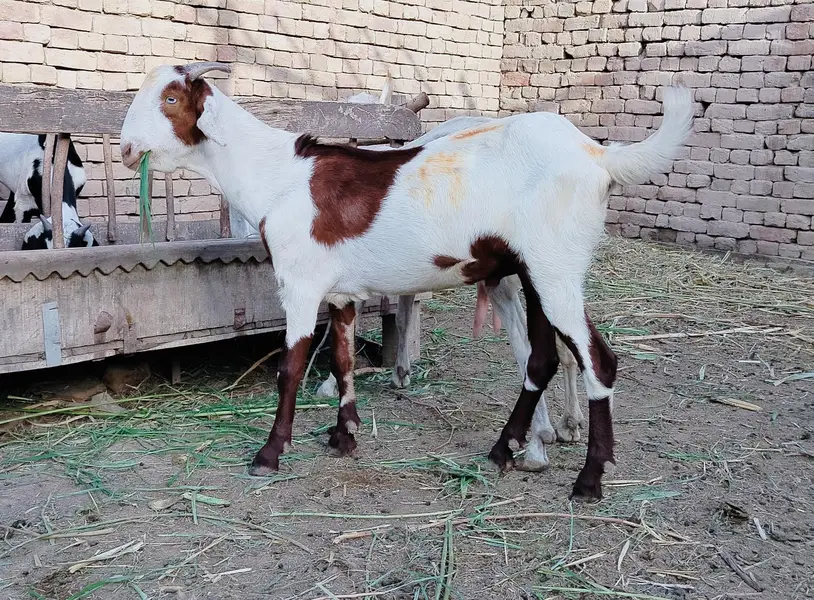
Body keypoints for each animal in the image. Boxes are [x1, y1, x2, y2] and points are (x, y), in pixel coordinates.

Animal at [120, 62, 693, 500]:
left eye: (170, 97)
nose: (127, 150)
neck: (277, 175)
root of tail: (598, 155)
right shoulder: (340, 292)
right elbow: (342, 360)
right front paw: (344, 437)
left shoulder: (300, 284)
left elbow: (290, 369)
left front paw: (269, 453)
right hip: (535, 272)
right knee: (543, 358)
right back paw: (506, 450)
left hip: (555, 268)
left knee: (598, 360)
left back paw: (588, 480)